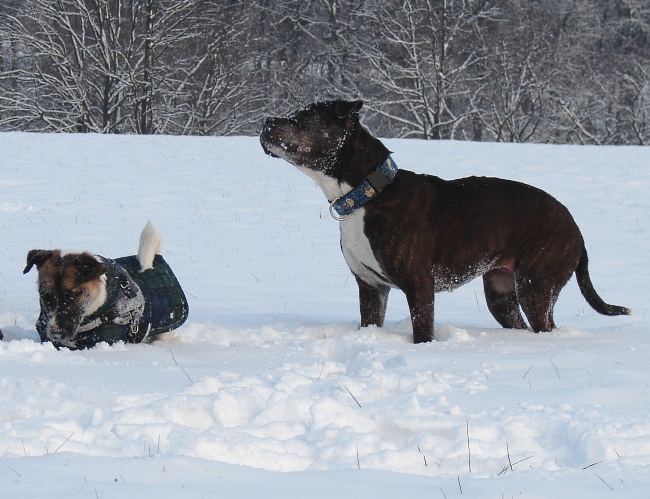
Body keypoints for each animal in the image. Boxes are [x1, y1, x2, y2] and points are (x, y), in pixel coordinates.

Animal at [258, 100, 628, 344]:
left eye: (304, 118)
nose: (266, 120)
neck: (368, 192)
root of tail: (576, 229)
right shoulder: (371, 287)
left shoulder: (419, 286)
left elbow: (423, 331)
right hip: (501, 292)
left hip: (536, 286)